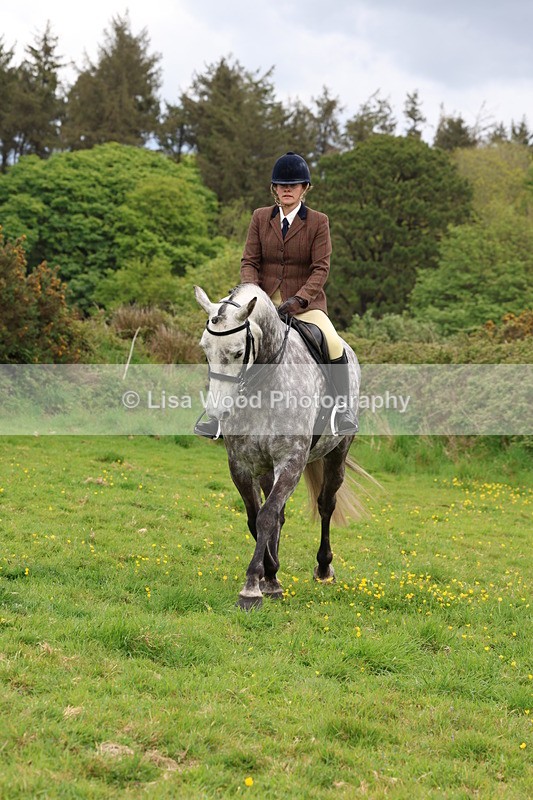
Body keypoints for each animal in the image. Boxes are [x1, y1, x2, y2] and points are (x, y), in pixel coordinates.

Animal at [194, 283, 363, 610]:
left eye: (238, 352)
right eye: (205, 349)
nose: (218, 413)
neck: (263, 385)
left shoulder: (291, 461)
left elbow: (267, 516)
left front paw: (251, 588)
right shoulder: (242, 464)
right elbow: (256, 518)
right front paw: (269, 577)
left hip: (338, 452)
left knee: (326, 504)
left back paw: (324, 568)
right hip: (266, 469)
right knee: (280, 514)